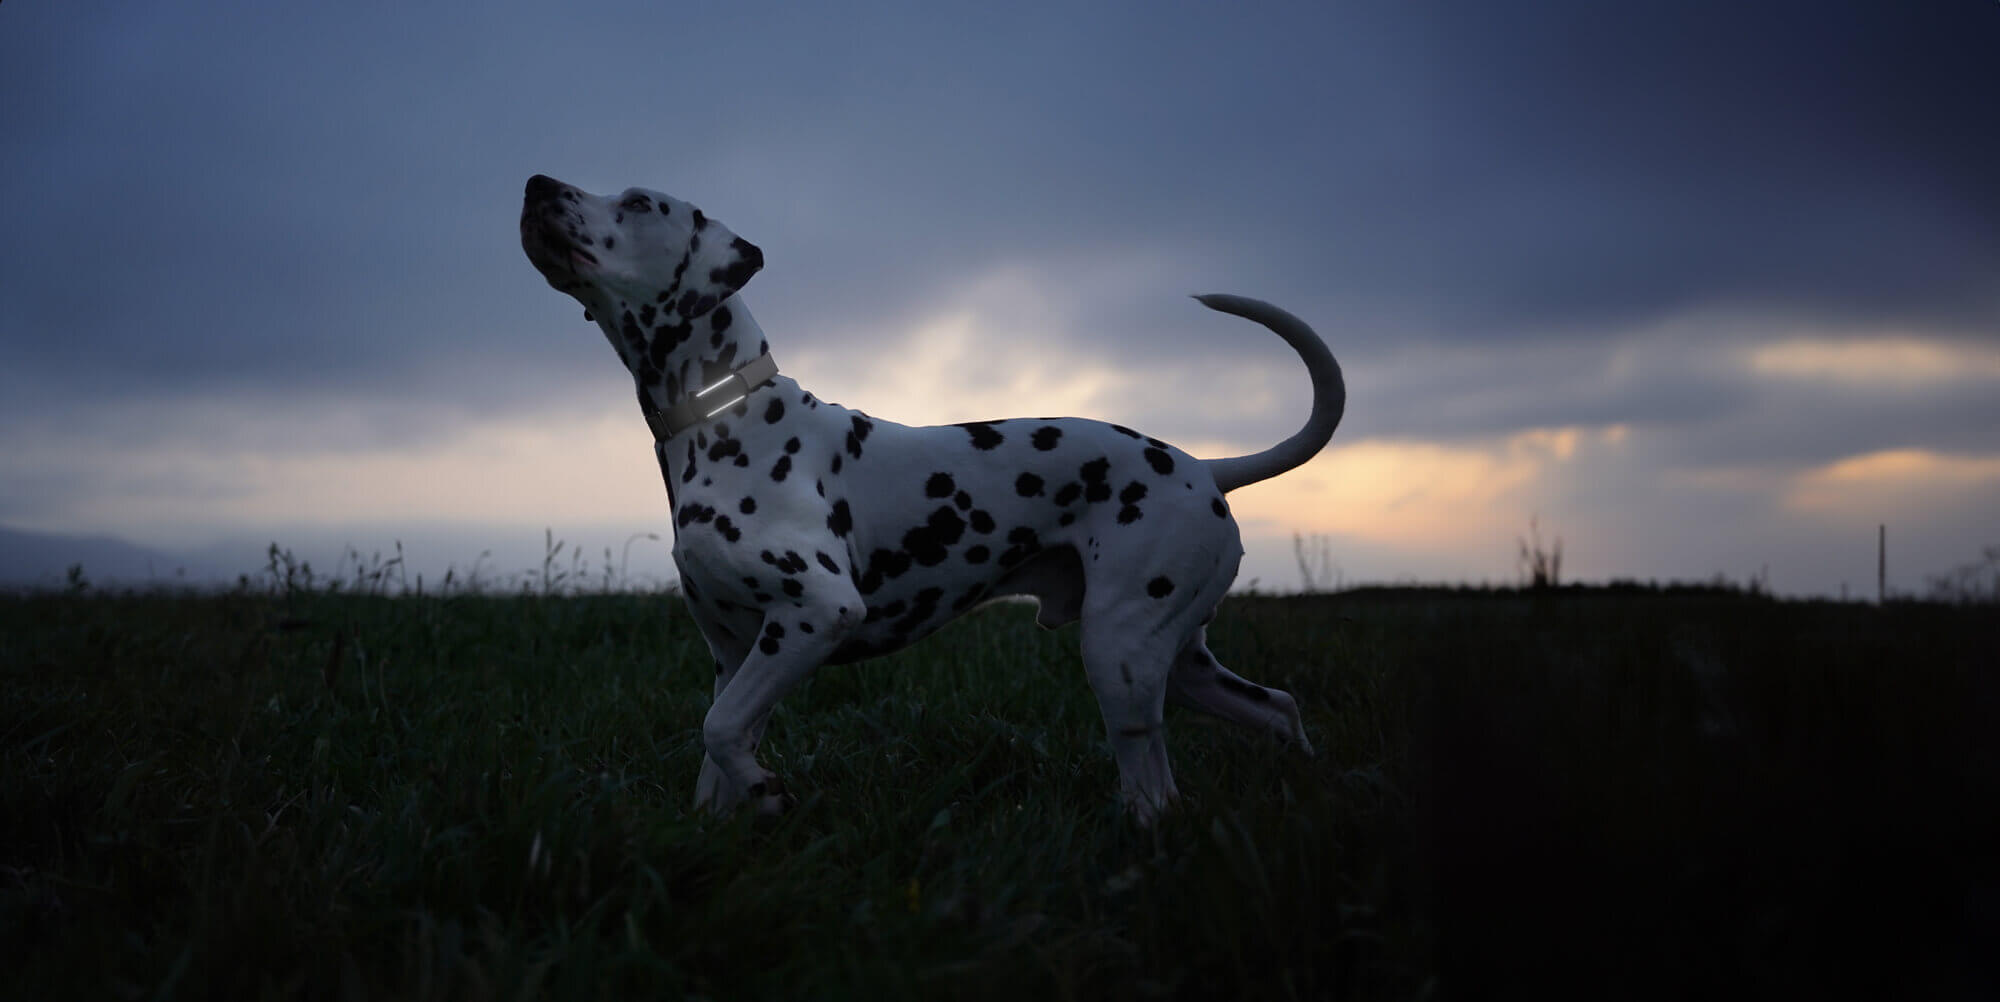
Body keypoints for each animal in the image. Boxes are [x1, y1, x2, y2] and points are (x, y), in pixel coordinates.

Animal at [524, 174, 1352, 820]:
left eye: (638, 202)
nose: (535, 183)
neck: (722, 415)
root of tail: (1207, 467)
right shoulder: (735, 651)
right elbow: (719, 750)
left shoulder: (816, 613)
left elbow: (720, 730)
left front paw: (766, 791)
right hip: (1176, 658)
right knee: (1277, 708)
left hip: (1121, 652)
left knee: (1156, 789)